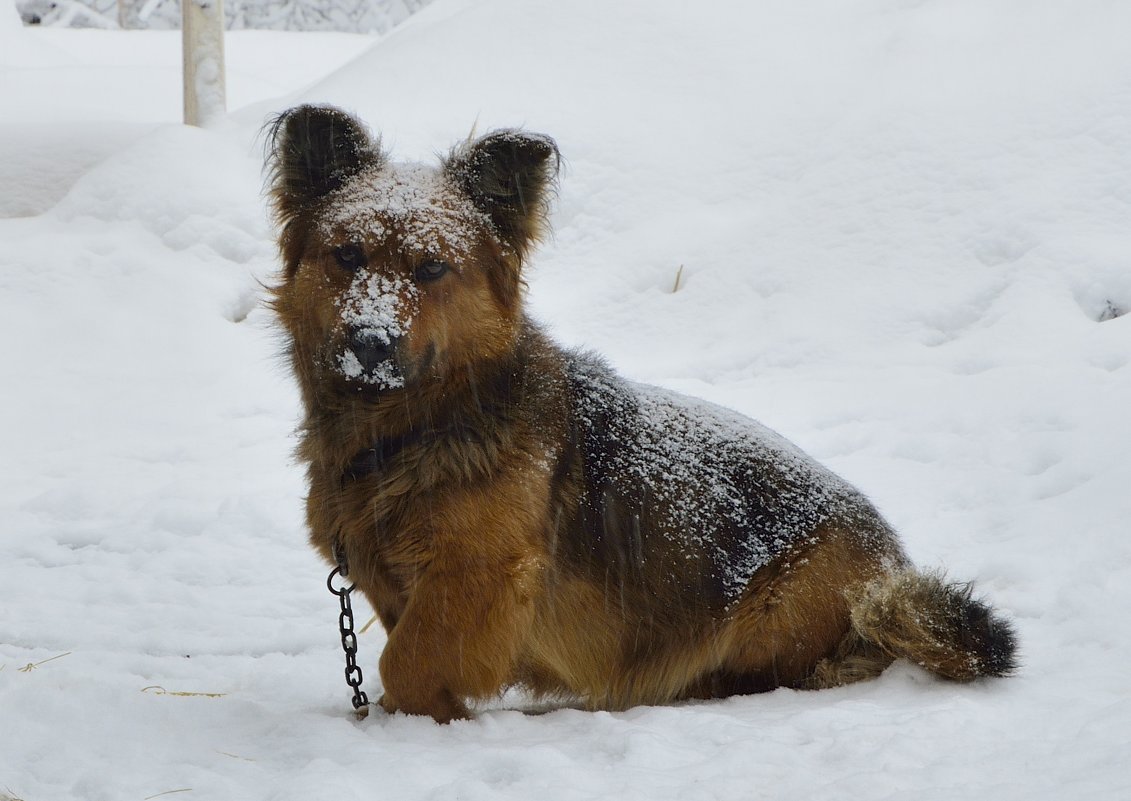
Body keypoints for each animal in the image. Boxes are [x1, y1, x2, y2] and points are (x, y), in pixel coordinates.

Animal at [264, 103, 1017, 724]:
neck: (411, 429)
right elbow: (405, 658)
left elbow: (406, 663)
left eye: (430, 269)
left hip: (783, 609)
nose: (369, 342)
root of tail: (893, 564)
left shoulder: (481, 576)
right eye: (347, 255)